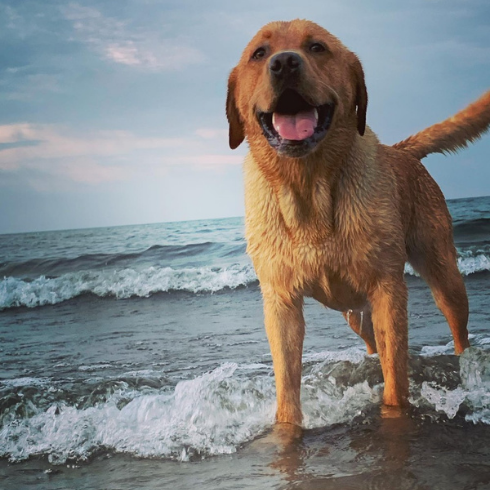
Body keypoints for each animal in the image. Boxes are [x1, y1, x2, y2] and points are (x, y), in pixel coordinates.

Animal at [228, 19, 490, 424]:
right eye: (259, 53)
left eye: (317, 47)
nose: (285, 63)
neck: (310, 190)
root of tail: (401, 151)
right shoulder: (281, 302)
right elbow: (287, 385)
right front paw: (286, 429)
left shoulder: (387, 290)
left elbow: (395, 378)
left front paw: (394, 416)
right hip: (356, 314)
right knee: (370, 342)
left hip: (444, 276)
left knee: (455, 326)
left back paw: (464, 360)